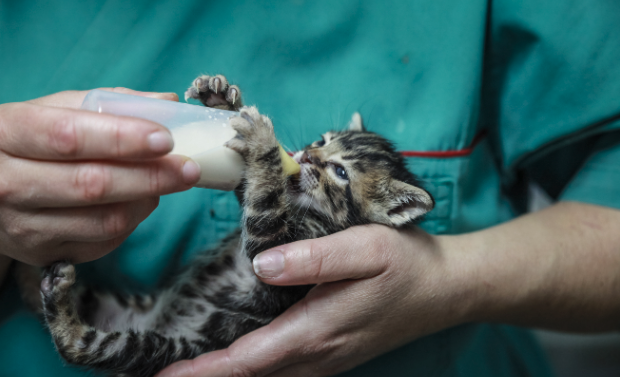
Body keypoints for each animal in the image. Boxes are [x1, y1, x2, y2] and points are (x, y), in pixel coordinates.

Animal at [36, 75, 434, 376]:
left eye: (340, 172)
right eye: (321, 141)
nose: (304, 155)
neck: (311, 214)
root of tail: (151, 320)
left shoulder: (277, 253)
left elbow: (264, 207)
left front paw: (262, 143)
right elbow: (249, 187)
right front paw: (220, 100)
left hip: (168, 348)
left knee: (84, 348)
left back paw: (62, 307)